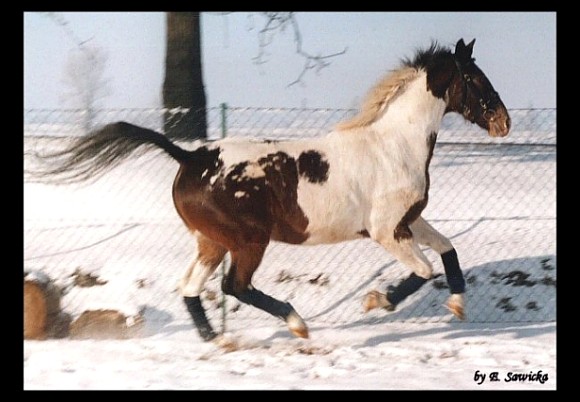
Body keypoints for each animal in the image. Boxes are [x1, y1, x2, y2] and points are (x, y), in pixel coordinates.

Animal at [30, 39, 512, 344]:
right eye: (476, 79)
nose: (503, 122)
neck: (394, 144)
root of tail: (190, 158)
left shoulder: (411, 220)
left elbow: (448, 250)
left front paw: (457, 305)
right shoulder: (386, 230)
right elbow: (424, 270)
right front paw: (377, 300)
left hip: (211, 241)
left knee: (190, 287)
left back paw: (217, 342)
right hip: (248, 240)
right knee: (234, 286)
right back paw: (296, 324)